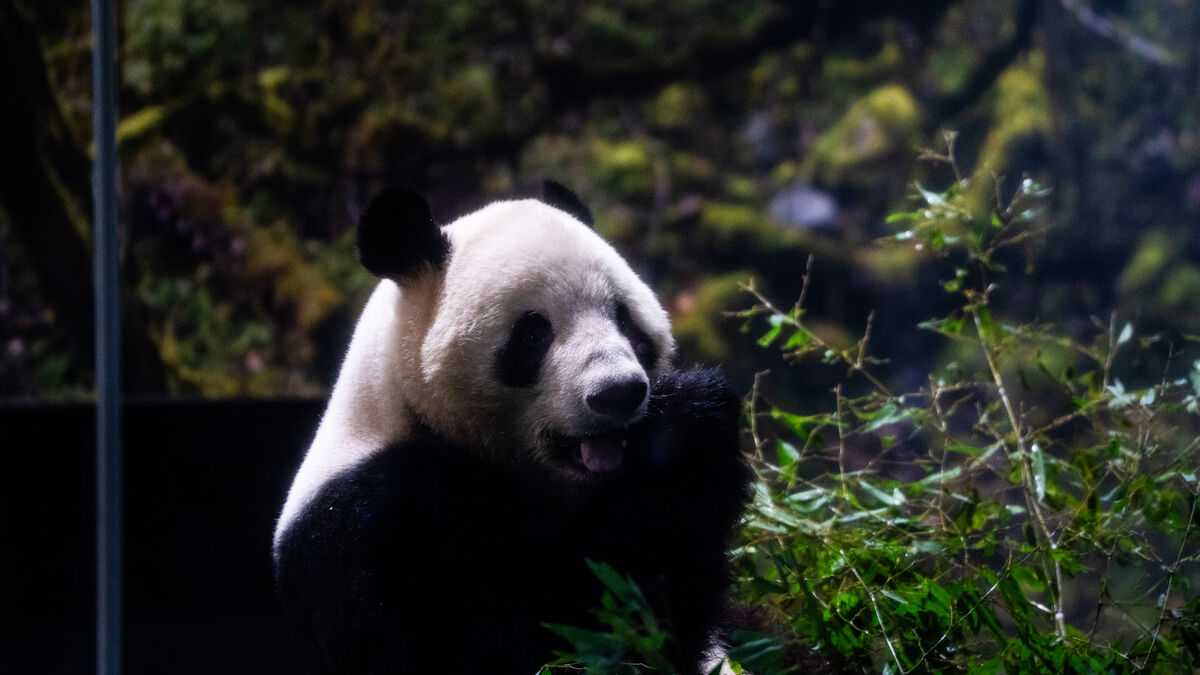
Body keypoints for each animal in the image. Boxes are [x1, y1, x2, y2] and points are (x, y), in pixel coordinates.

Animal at [273, 182, 752, 675]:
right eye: (532, 334)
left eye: (624, 318)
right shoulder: (374, 524)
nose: (617, 392)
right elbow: (539, 634)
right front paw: (685, 420)